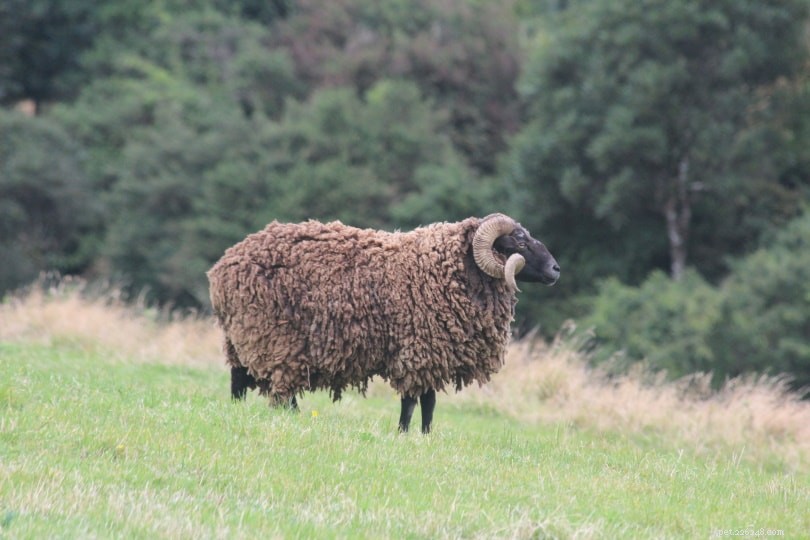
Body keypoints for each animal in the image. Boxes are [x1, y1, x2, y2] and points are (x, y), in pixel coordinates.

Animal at [207, 213, 559, 433]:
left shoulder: (433, 354)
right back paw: (289, 417)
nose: (556, 269)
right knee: (278, 388)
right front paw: (403, 433)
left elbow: (429, 402)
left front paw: (425, 436)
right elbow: (412, 401)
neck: (448, 269)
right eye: (520, 242)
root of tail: (224, 265)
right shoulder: (418, 349)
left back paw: (243, 412)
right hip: (272, 336)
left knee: (239, 380)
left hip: (242, 337)